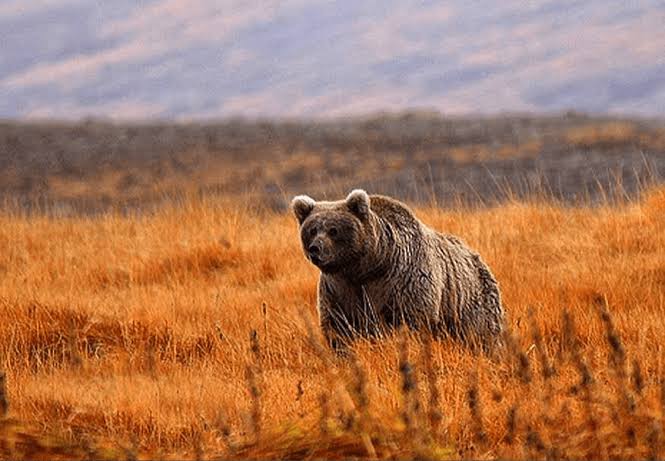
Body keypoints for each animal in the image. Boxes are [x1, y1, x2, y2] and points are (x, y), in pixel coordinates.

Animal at [292, 189, 504, 351]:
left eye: (333, 230)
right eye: (312, 230)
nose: (315, 249)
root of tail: (479, 259)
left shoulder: (402, 282)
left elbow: (413, 321)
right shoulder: (338, 288)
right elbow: (338, 326)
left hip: (470, 303)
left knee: (482, 335)